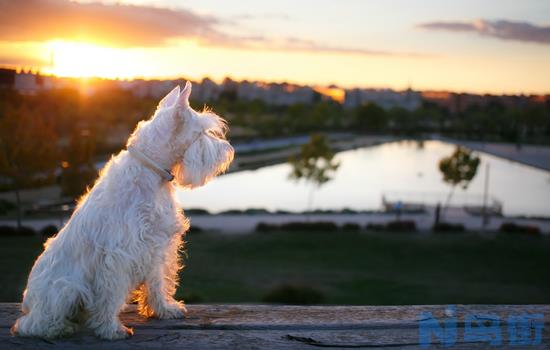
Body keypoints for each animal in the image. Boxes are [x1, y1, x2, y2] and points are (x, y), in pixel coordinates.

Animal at [11, 82, 235, 340]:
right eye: (201, 133)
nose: (228, 150)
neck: (152, 173)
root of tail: (27, 302)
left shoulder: (156, 246)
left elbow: (157, 282)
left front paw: (164, 309)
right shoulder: (118, 254)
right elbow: (110, 295)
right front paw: (110, 329)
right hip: (64, 288)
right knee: (32, 324)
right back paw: (59, 327)